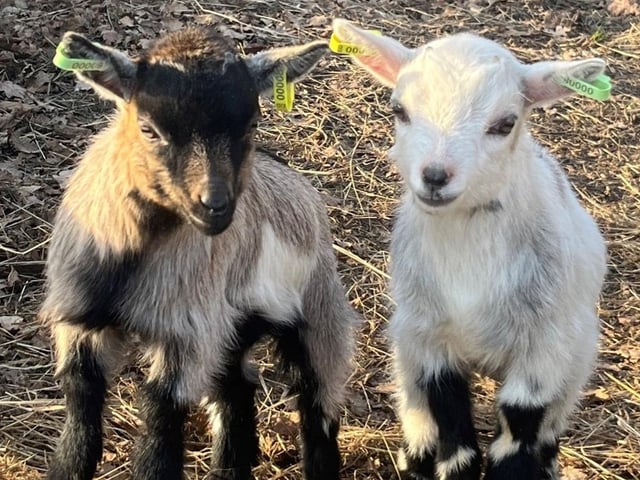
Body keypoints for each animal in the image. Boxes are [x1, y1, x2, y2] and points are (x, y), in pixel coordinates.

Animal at [40, 27, 356, 480]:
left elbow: (160, 414)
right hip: (234, 328)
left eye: (252, 123)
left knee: (319, 405)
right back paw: (230, 469)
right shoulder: (79, 318)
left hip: (318, 309)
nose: (215, 205)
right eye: (148, 128)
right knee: (237, 390)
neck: (131, 260)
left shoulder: (187, 330)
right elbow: (80, 401)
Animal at [332, 19, 607, 480]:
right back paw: (414, 456)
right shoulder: (432, 341)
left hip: (579, 351)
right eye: (398, 110)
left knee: (553, 425)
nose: (435, 176)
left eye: (506, 122)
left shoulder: (543, 350)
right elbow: (457, 446)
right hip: (406, 343)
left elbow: (515, 441)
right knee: (418, 414)